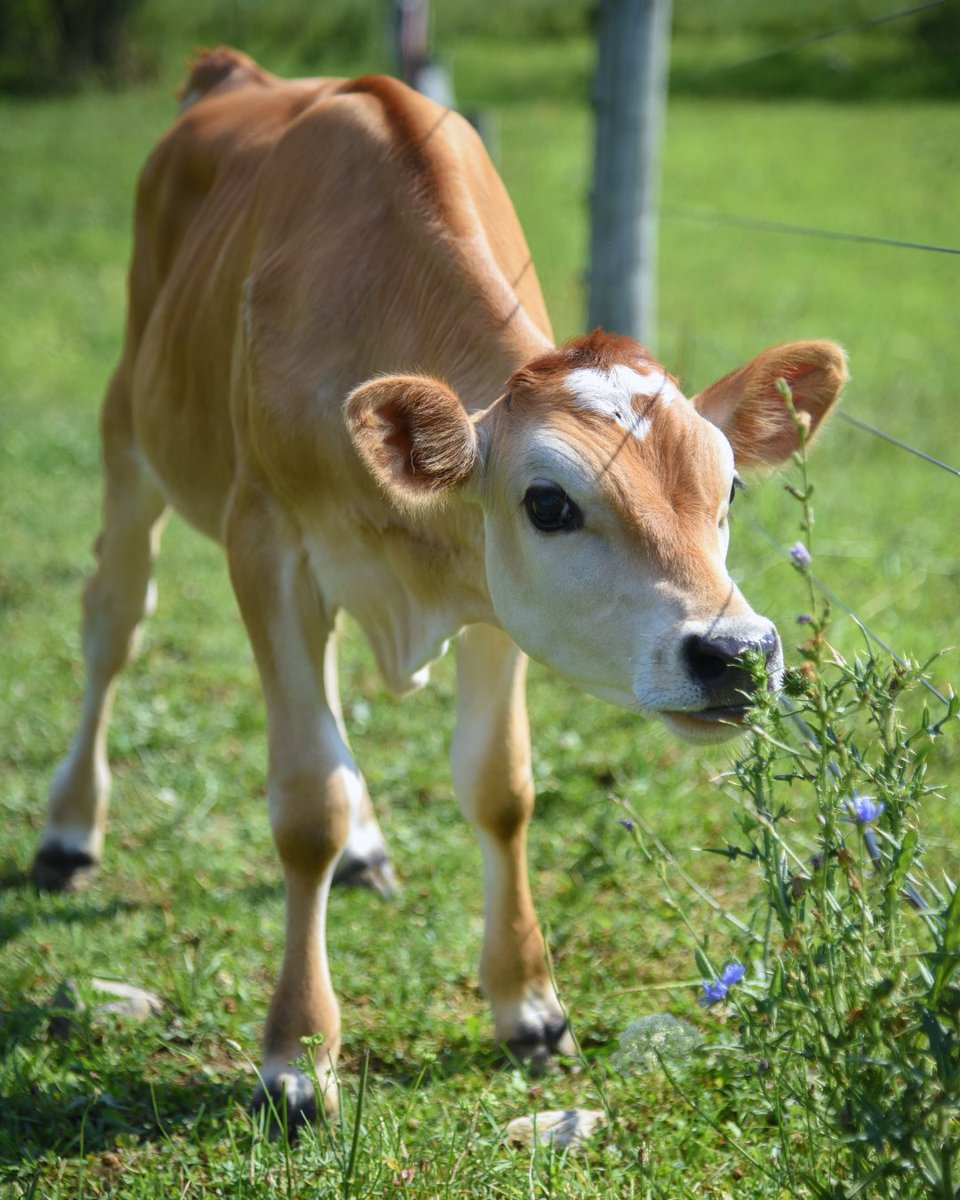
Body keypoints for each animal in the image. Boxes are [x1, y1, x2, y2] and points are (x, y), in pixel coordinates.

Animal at [32, 48, 847, 1128]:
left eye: (730, 491)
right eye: (547, 502)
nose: (737, 653)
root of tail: (231, 74)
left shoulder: (492, 597)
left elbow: (499, 788)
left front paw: (529, 1006)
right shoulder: (267, 545)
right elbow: (307, 803)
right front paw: (297, 1055)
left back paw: (368, 852)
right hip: (130, 432)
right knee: (112, 623)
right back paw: (67, 834)